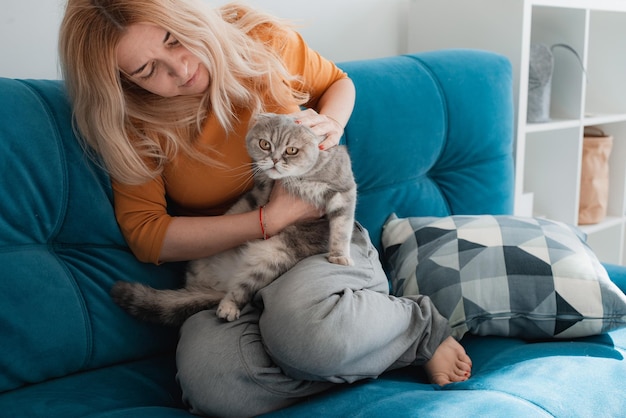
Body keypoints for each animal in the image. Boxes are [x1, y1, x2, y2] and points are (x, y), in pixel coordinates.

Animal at [112, 113, 356, 326]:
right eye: (265, 144)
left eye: (291, 150)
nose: (274, 160)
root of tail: (221, 282)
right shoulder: (262, 190)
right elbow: (263, 195)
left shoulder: (344, 191)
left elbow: (342, 228)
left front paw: (339, 255)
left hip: (271, 258)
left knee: (241, 289)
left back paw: (227, 307)